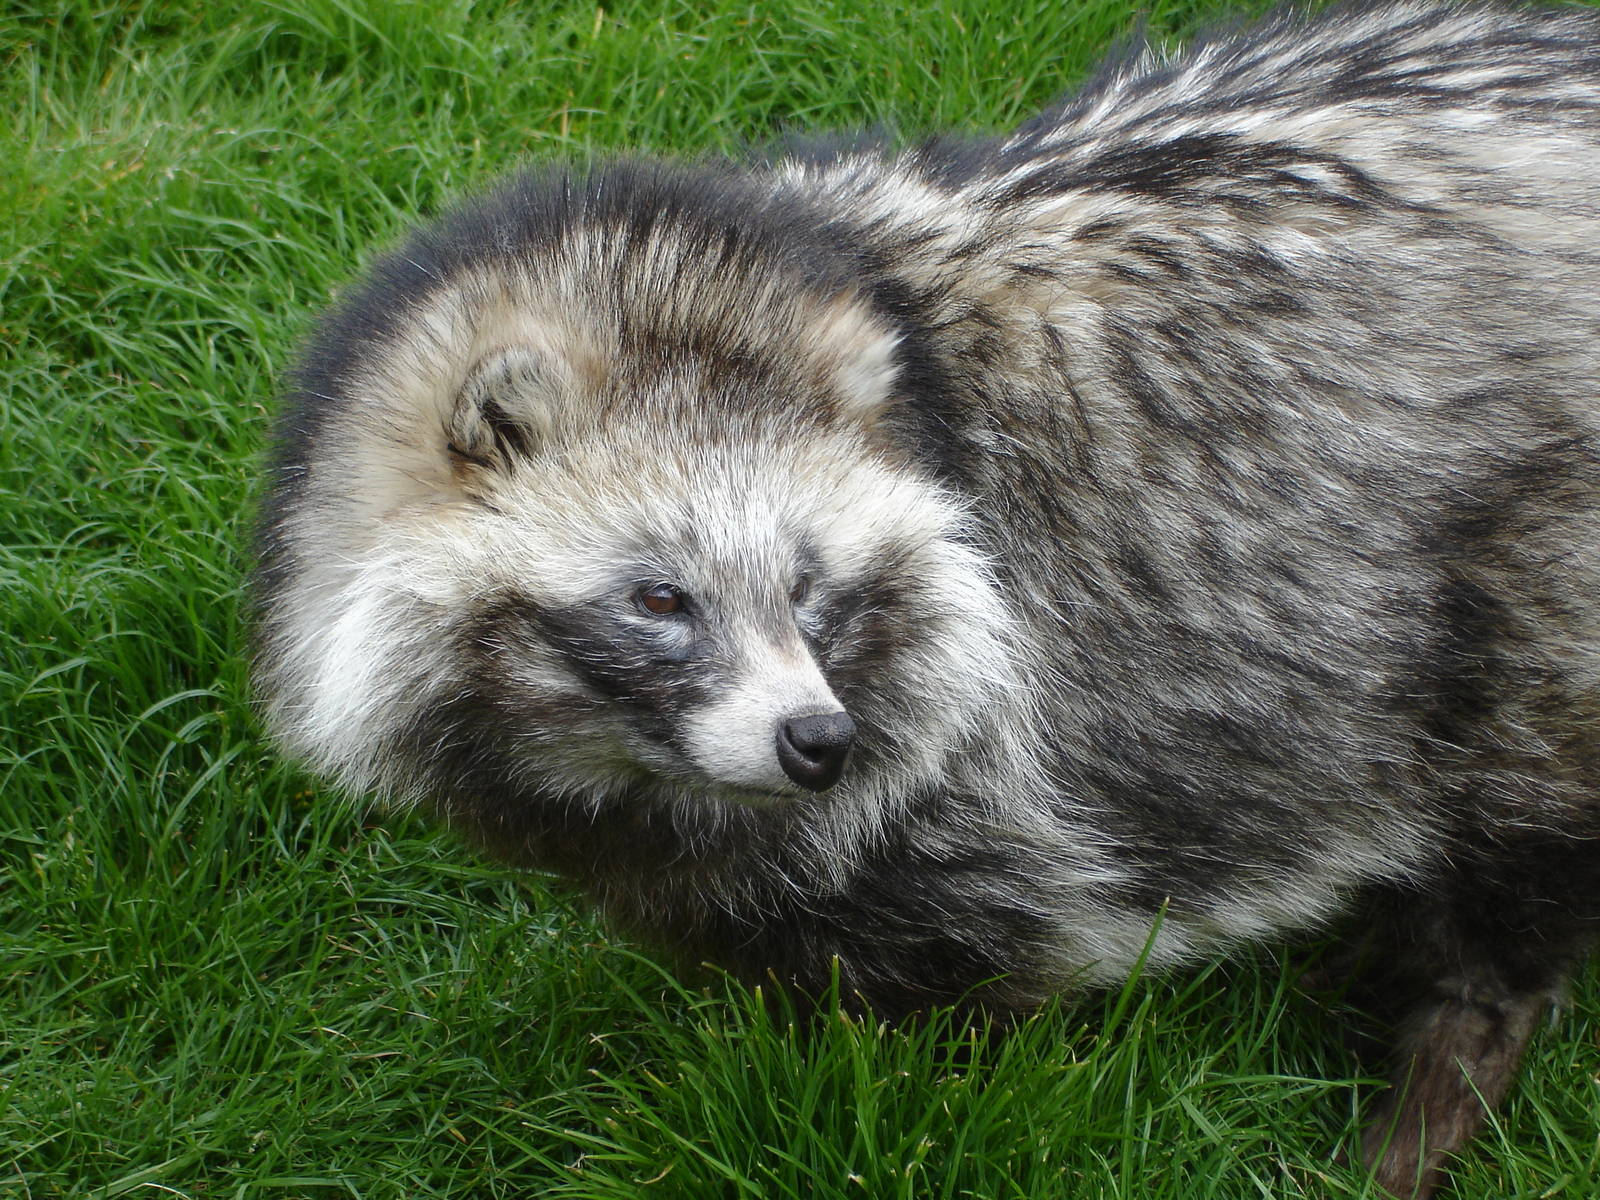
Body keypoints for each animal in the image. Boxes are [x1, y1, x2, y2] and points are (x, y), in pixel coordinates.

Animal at [254, 2, 1600, 1195]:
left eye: (809, 587)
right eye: (659, 598)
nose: (817, 741)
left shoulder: (987, 753)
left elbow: (950, 1002)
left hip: (1529, 572)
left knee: (1511, 834)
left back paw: (1442, 1073)